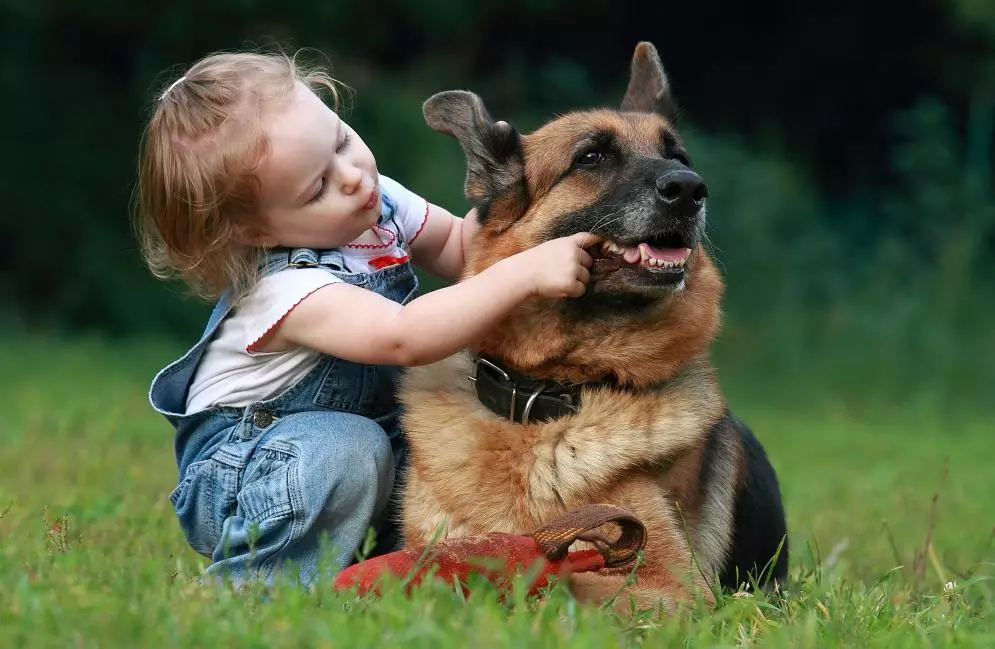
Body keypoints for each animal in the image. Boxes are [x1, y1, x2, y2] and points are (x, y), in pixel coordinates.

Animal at [396, 43, 784, 612]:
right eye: (591, 158)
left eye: (680, 158)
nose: (691, 189)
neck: (545, 401)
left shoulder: (671, 588)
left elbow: (560, 577)